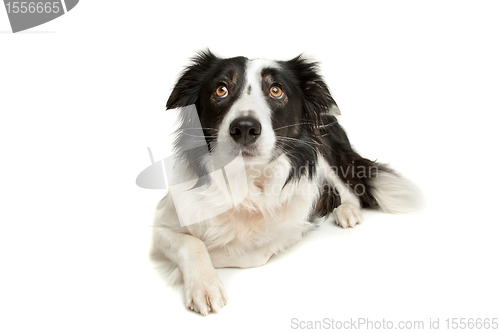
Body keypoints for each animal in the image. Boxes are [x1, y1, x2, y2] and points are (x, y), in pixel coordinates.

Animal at [148, 50, 422, 316]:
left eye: (276, 90)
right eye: (221, 90)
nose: (244, 128)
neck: (246, 179)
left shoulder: (290, 226)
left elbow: (247, 252)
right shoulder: (163, 221)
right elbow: (192, 243)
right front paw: (204, 284)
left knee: (349, 191)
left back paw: (346, 210)